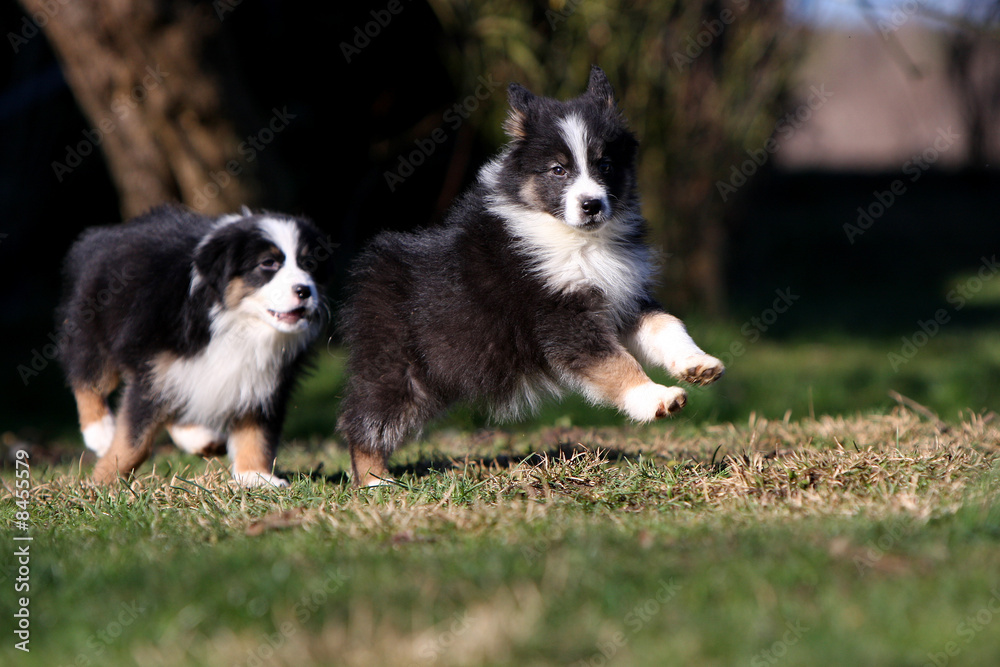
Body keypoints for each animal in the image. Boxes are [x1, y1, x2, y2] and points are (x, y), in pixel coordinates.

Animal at [57, 202, 328, 486]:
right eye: (268, 263)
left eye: (309, 264)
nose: (305, 291)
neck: (233, 319)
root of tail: (107, 232)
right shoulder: (155, 366)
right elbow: (134, 439)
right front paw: (102, 481)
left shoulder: (263, 376)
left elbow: (256, 432)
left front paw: (255, 476)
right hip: (93, 326)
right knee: (88, 376)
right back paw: (99, 432)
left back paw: (201, 439)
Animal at [340, 66, 724, 486]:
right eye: (558, 170)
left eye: (605, 165)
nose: (591, 205)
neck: (579, 240)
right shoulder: (560, 316)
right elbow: (615, 363)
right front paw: (656, 397)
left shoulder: (621, 298)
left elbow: (665, 325)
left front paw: (697, 364)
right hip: (398, 370)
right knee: (363, 418)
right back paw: (375, 481)